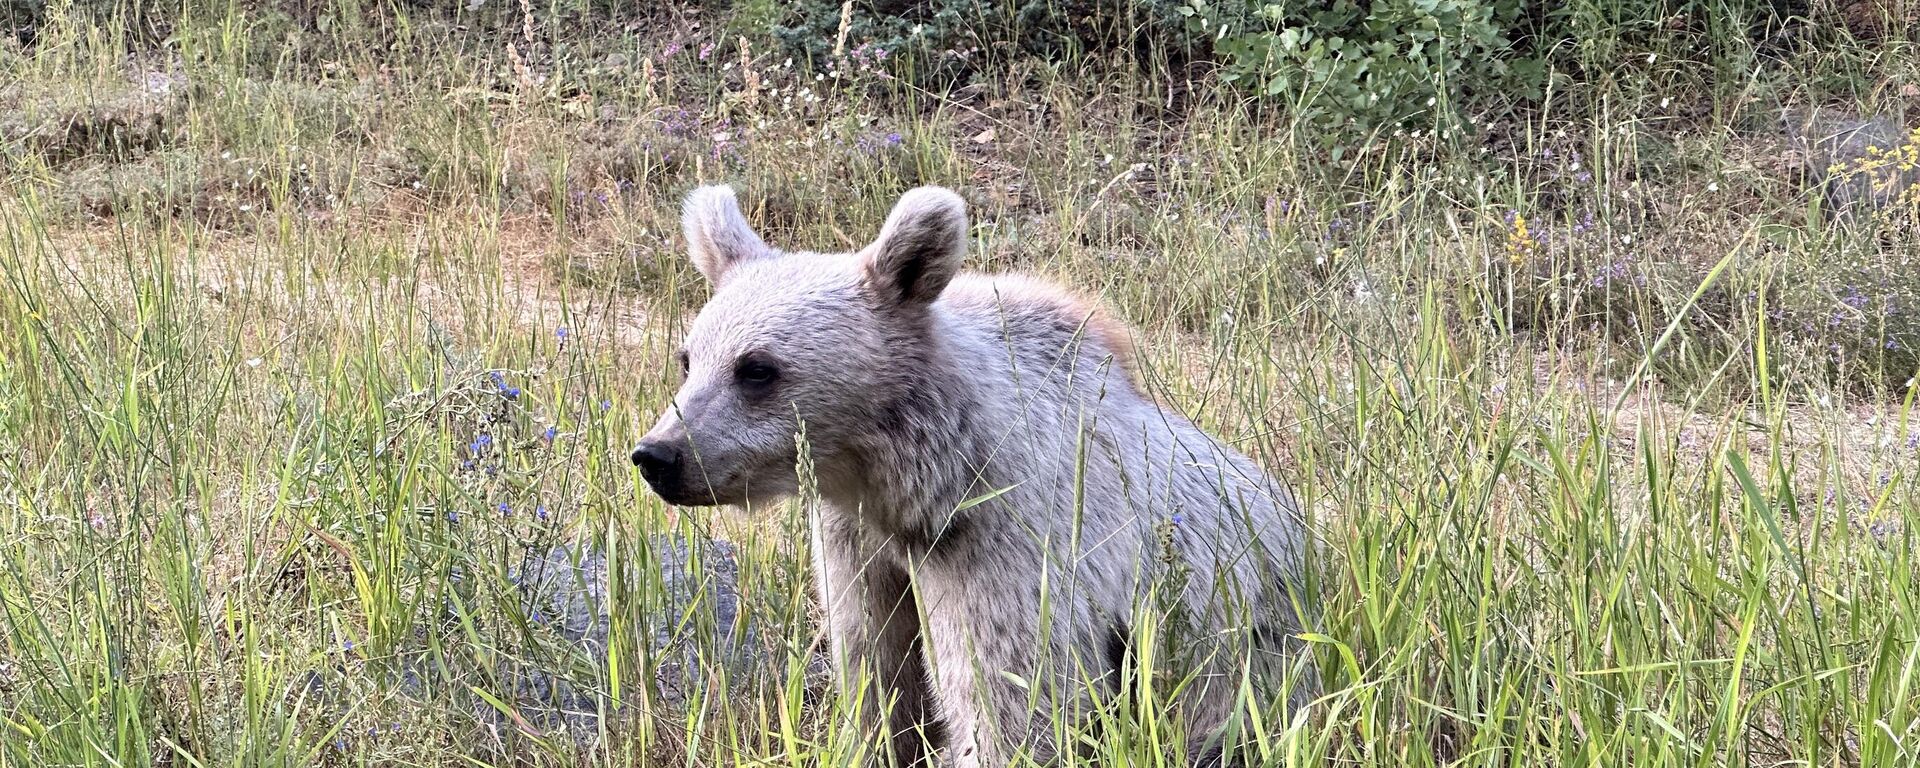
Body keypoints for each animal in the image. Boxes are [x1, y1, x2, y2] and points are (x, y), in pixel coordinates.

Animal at [637, 186, 1313, 768]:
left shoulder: (1007, 550)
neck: (913, 488)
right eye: (689, 359)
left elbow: (1009, 695)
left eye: (756, 369)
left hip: (1240, 642)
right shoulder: (856, 545)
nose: (659, 454)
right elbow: (876, 670)